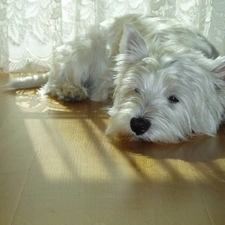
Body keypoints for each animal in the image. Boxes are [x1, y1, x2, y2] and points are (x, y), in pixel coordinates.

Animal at [6, 14, 225, 142]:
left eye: (174, 98)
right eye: (136, 89)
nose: (137, 125)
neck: (176, 47)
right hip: (86, 50)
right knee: (52, 83)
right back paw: (71, 90)